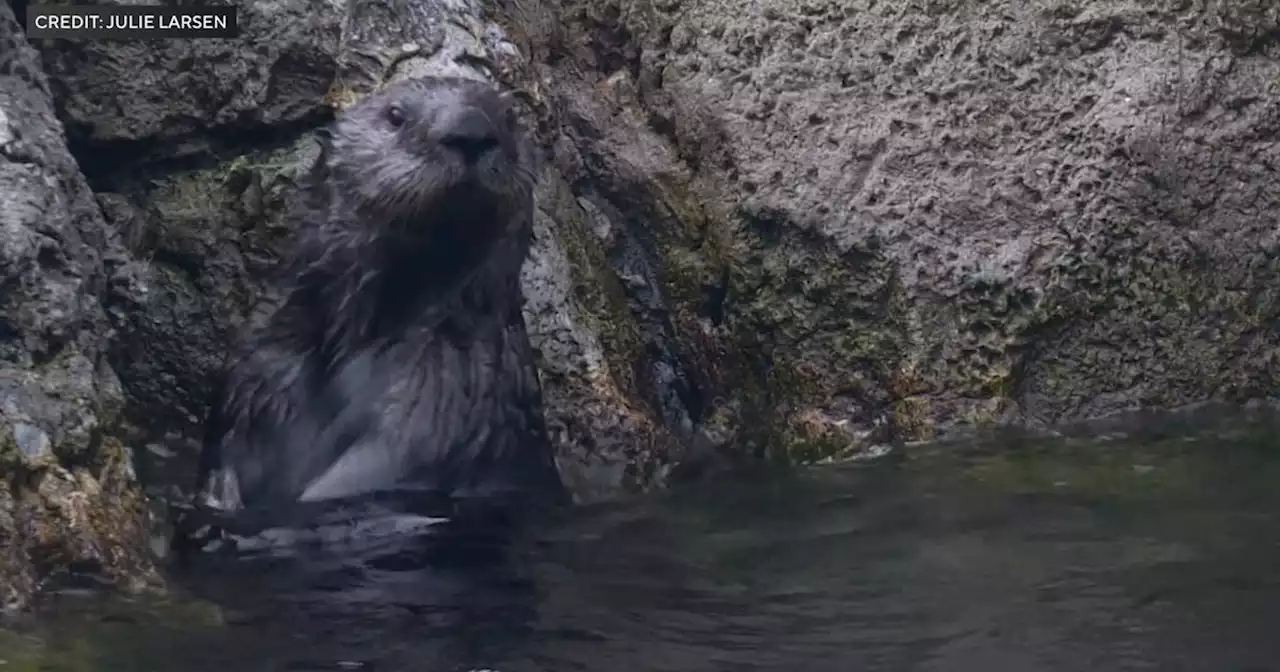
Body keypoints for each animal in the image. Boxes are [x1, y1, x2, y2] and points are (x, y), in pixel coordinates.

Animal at [176, 75, 570, 552]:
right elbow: (229, 446)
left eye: (510, 118)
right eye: (395, 115)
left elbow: (384, 466)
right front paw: (217, 506)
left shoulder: (450, 391)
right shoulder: (264, 364)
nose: (471, 130)